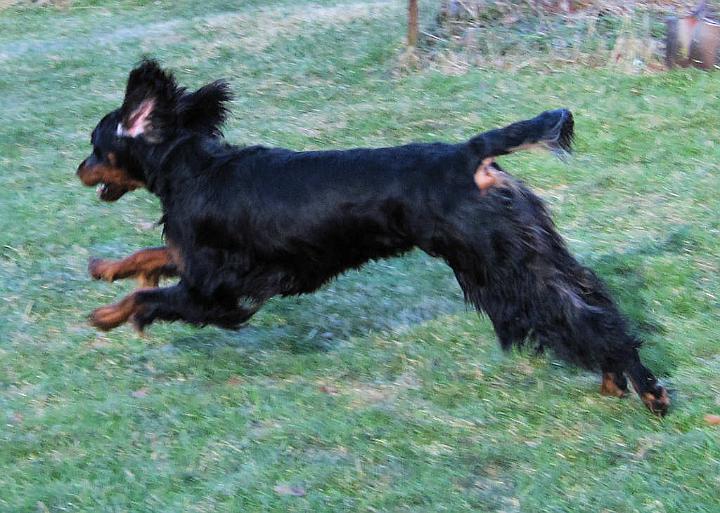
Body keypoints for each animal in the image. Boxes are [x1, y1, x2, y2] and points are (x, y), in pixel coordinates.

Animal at [77, 59, 668, 416]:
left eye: (96, 145)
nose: (78, 169)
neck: (192, 165)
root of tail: (468, 154)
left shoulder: (215, 293)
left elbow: (148, 298)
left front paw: (107, 316)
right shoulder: (203, 264)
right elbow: (150, 255)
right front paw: (105, 269)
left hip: (499, 266)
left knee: (580, 319)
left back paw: (646, 391)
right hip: (530, 250)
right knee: (592, 303)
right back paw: (622, 379)